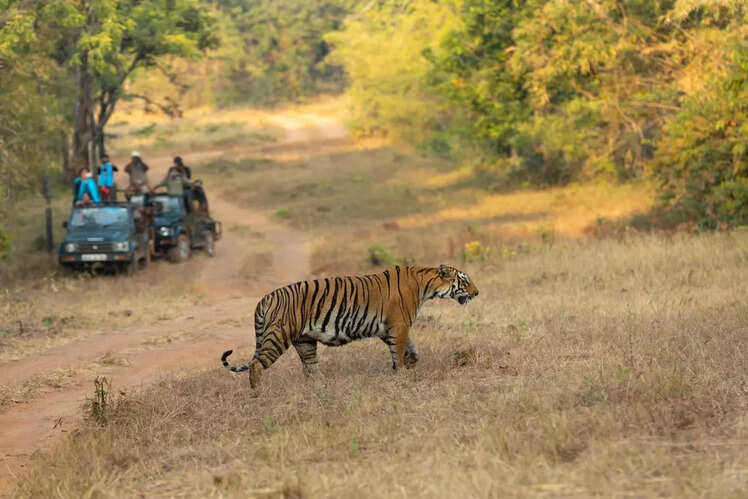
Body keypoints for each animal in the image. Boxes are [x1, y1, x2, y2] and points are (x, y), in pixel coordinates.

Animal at [220, 264, 479, 389]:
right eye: (464, 280)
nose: (477, 293)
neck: (426, 284)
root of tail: (265, 298)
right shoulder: (399, 326)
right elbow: (400, 352)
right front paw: (402, 374)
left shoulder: (388, 329)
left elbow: (412, 349)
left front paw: (410, 363)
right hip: (278, 336)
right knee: (256, 365)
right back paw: (257, 394)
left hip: (305, 342)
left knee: (310, 370)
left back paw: (321, 389)